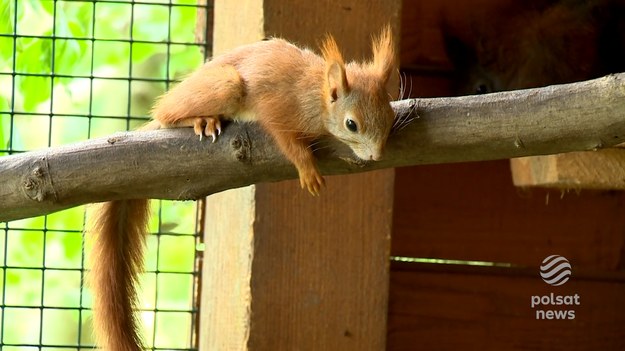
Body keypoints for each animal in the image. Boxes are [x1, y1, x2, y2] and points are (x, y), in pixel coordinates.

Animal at [88, 26, 394, 351]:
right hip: (224, 85)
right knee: (167, 115)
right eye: (352, 124)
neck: (316, 94)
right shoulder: (277, 107)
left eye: (389, 114)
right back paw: (201, 119)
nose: (377, 155)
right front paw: (307, 169)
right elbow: (286, 141)